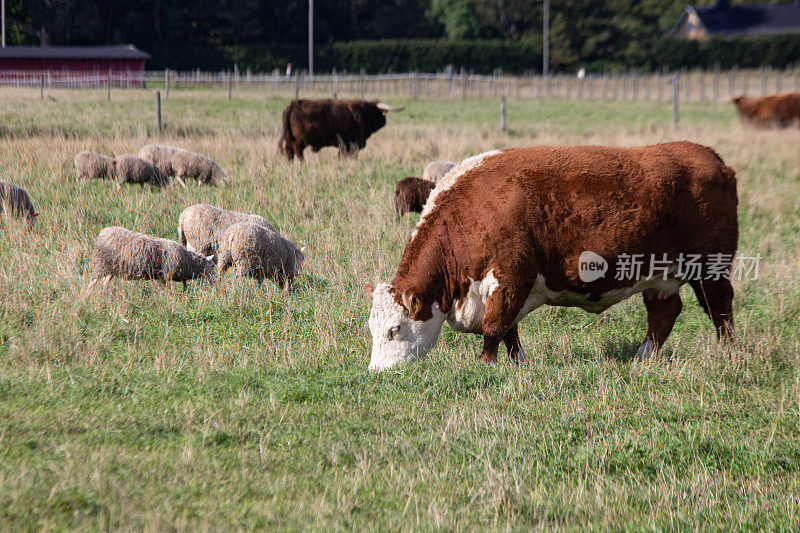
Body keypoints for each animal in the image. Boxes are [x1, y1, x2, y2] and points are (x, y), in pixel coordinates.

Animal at [88, 225, 216, 290]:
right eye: (213, 265)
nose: (215, 281)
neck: (187, 261)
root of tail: (103, 232)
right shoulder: (163, 275)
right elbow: (165, 290)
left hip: (111, 267)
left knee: (104, 282)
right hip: (100, 263)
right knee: (92, 282)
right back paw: (88, 297)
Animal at [362, 141, 736, 370]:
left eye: (394, 330)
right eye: (372, 329)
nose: (378, 372)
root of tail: (710, 156)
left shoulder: (510, 278)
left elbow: (494, 327)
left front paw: (485, 367)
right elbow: (509, 331)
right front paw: (518, 363)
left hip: (710, 268)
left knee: (719, 308)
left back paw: (728, 352)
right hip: (660, 275)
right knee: (664, 313)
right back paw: (641, 357)